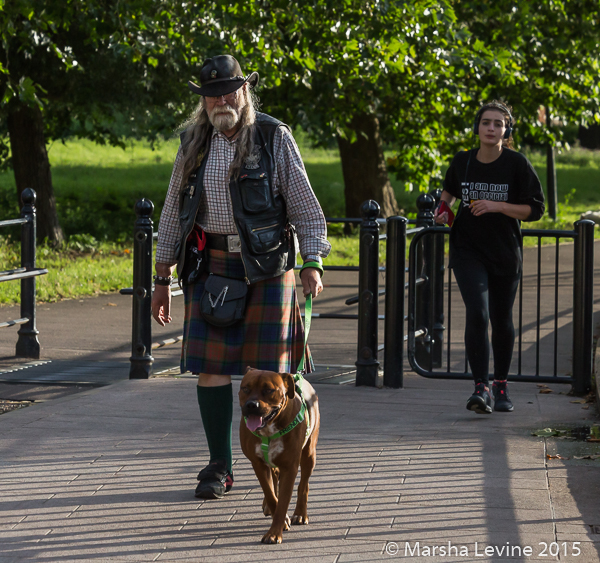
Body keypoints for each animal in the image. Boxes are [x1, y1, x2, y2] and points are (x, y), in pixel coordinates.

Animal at [239, 368, 322, 544]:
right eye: (245, 388)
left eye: (269, 390)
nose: (251, 405)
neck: (268, 430)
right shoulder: (258, 463)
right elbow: (270, 492)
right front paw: (278, 515)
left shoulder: (290, 467)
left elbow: (283, 501)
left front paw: (274, 533)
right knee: (274, 477)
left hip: (309, 454)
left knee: (303, 484)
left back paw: (300, 514)